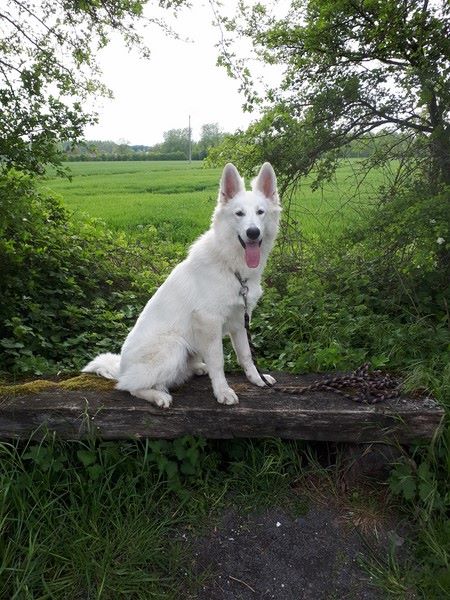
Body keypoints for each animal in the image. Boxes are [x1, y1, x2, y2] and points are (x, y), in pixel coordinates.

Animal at [82, 162, 281, 408]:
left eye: (260, 212)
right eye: (239, 213)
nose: (253, 232)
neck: (231, 266)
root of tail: (121, 368)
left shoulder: (239, 320)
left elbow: (245, 355)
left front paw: (256, 379)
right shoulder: (209, 321)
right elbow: (218, 361)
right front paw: (222, 391)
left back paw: (196, 370)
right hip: (174, 345)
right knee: (129, 387)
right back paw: (158, 395)